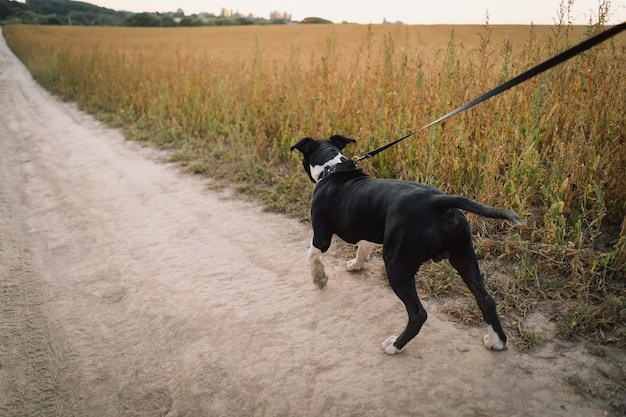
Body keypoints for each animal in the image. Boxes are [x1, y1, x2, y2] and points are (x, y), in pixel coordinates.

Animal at [290, 134, 520, 354]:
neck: (332, 168)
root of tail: (440, 202)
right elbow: (363, 247)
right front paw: (356, 265)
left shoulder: (321, 236)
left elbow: (312, 255)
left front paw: (319, 277)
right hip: (464, 256)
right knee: (486, 300)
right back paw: (497, 342)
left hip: (397, 265)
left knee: (418, 313)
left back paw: (394, 345)